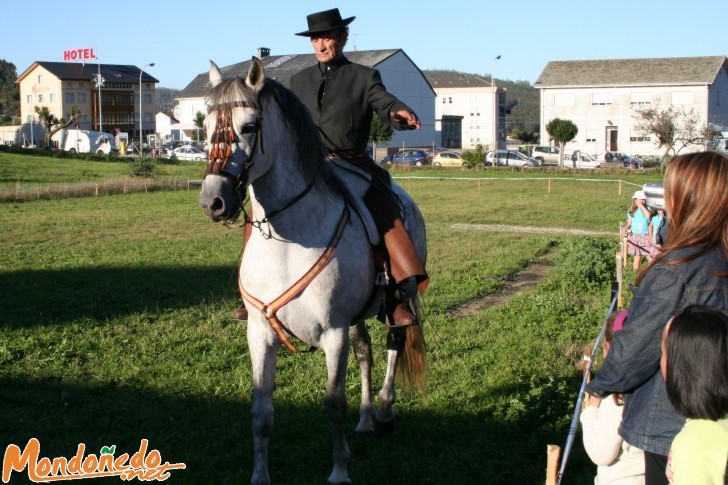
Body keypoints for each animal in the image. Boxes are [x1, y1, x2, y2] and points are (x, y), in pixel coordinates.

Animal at [199, 59, 426, 484]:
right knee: (366, 352)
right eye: (203, 127)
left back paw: (384, 408)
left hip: (400, 298)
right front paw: (260, 475)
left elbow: (333, 403)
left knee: (395, 342)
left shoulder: (332, 333)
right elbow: (261, 411)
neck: (290, 242)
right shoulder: (260, 333)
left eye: (249, 126)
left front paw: (339, 471)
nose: (213, 201)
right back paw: (366, 419)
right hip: (356, 316)